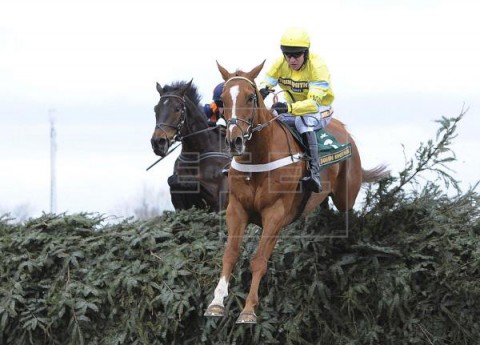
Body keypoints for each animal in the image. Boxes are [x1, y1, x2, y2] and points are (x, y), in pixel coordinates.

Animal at [151, 80, 232, 211]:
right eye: (156, 109)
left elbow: (194, 183)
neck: (196, 152)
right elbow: (172, 180)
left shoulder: (219, 199)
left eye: (177, 109)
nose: (158, 142)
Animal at [204, 61, 388, 322]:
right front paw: (216, 302)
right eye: (222, 100)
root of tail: (345, 130)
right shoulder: (237, 209)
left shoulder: (275, 214)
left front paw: (248, 309)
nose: (234, 141)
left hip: (346, 195)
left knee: (348, 212)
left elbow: (259, 260)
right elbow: (230, 253)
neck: (258, 159)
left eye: (250, 97)